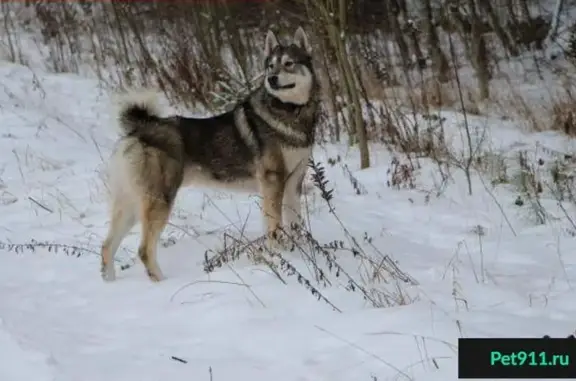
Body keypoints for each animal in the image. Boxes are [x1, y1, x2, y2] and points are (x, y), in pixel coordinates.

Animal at [99, 26, 320, 280]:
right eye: (270, 66)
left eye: (288, 63)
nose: (271, 79)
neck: (289, 111)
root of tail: (139, 130)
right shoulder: (273, 182)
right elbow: (274, 228)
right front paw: (280, 256)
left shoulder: (293, 183)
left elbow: (295, 224)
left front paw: (300, 253)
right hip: (159, 201)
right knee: (144, 250)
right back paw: (162, 282)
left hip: (131, 204)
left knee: (107, 246)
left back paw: (110, 282)